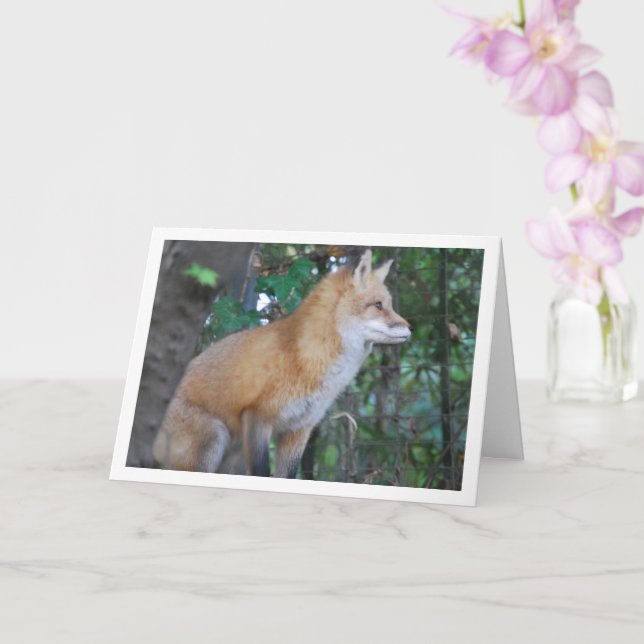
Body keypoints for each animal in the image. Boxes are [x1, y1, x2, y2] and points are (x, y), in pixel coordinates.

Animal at [153, 249, 412, 479]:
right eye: (378, 305)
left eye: (389, 305)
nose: (410, 328)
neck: (308, 357)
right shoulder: (258, 417)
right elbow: (261, 473)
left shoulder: (299, 429)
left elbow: (286, 476)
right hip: (212, 441)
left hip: (231, 455)